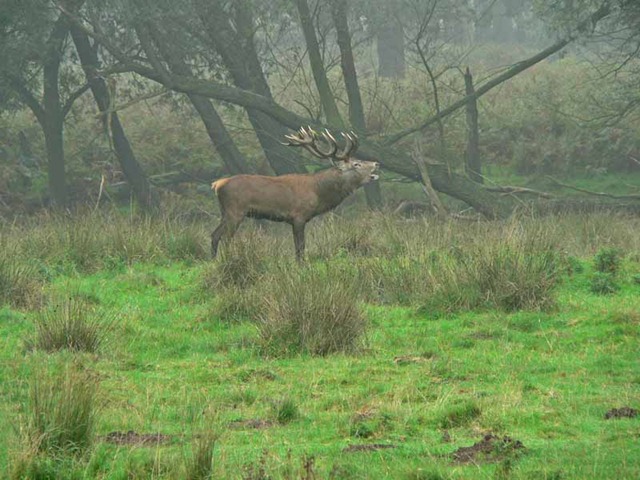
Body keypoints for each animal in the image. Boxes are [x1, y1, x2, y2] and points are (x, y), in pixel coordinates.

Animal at [211, 126, 380, 261]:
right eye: (356, 164)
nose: (376, 163)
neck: (318, 192)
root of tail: (218, 184)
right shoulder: (299, 216)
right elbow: (300, 246)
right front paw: (301, 265)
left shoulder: (294, 220)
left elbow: (297, 246)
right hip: (236, 211)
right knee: (226, 238)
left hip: (225, 211)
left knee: (215, 235)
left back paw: (213, 261)